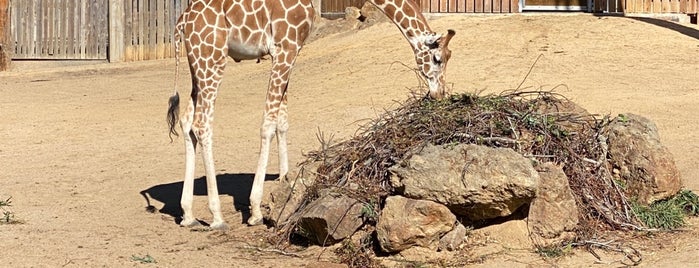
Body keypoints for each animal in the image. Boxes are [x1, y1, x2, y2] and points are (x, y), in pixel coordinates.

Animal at [167, 0, 456, 230]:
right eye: (438, 58)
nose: (439, 94)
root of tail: (181, 23)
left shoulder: (290, 52)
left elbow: (282, 121)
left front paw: (284, 188)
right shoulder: (285, 48)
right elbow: (268, 122)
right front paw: (256, 211)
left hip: (197, 64)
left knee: (187, 122)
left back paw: (188, 214)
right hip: (212, 58)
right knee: (202, 124)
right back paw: (216, 217)